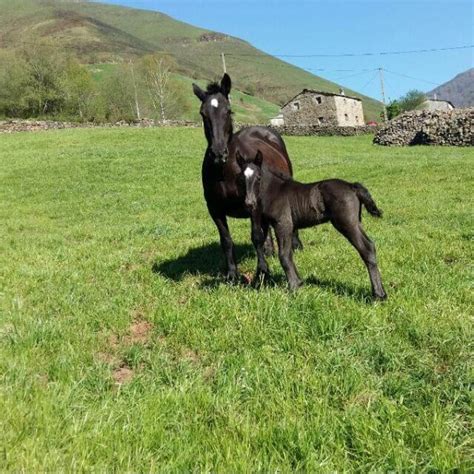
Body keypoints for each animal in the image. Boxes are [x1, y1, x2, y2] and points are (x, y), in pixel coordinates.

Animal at [192, 72, 300, 284]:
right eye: (203, 113)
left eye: (228, 111)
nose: (218, 153)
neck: (226, 171)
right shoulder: (215, 209)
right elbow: (226, 240)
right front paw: (232, 274)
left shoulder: (252, 204)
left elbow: (256, 235)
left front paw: (262, 272)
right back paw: (270, 250)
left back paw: (295, 245)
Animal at [235, 151, 386, 300]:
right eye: (241, 178)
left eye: (259, 178)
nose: (249, 203)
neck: (274, 191)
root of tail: (351, 186)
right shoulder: (270, 224)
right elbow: (278, 250)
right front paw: (299, 283)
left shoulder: (283, 224)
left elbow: (284, 255)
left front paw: (294, 288)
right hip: (355, 222)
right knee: (371, 246)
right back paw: (381, 292)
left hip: (347, 224)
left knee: (366, 248)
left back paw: (378, 295)